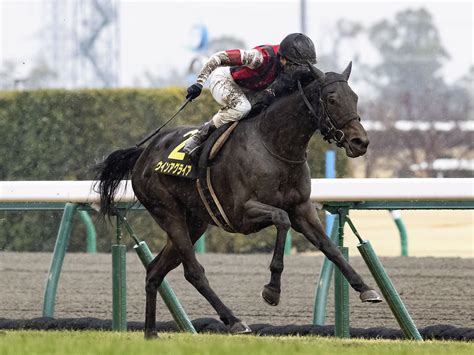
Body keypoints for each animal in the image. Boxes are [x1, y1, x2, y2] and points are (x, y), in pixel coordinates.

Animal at [96, 63, 382, 340]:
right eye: (332, 99)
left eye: (355, 97)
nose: (360, 142)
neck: (274, 145)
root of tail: (143, 153)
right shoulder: (241, 214)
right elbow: (281, 219)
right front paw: (272, 290)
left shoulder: (302, 209)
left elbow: (330, 248)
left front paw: (366, 288)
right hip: (167, 211)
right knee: (193, 271)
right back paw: (234, 321)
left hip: (195, 222)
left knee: (155, 271)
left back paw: (151, 332)